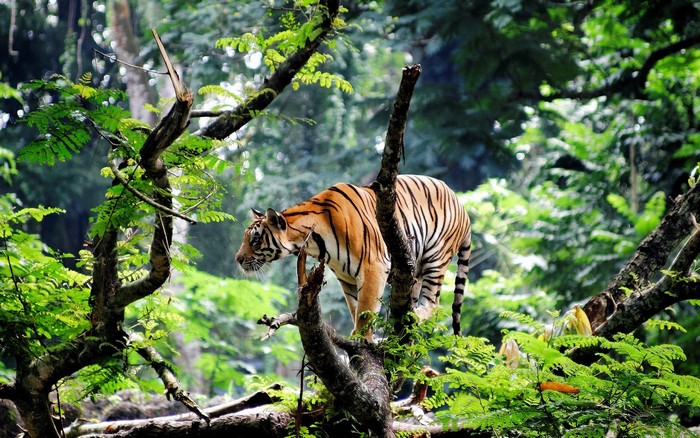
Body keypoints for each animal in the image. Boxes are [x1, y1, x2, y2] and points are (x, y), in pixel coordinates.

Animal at [235, 174, 472, 339]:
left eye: (255, 240)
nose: (238, 259)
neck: (313, 242)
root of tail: (463, 206)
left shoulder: (373, 266)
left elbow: (365, 309)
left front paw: (362, 338)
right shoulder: (346, 277)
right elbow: (355, 307)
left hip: (436, 258)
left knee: (434, 304)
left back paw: (412, 317)